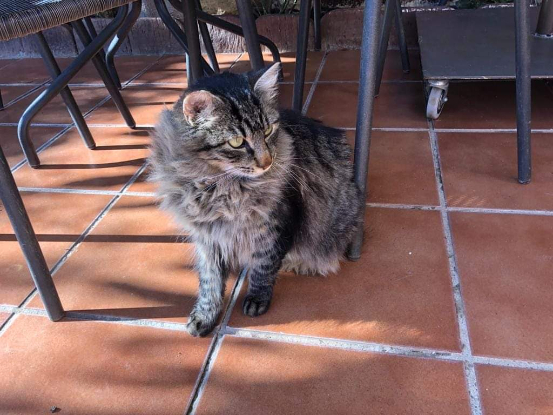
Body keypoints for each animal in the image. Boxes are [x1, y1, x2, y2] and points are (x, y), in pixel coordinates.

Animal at [149, 63, 363, 337]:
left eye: (269, 130)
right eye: (237, 142)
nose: (267, 162)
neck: (216, 187)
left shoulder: (276, 225)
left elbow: (264, 266)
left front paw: (257, 299)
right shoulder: (207, 236)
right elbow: (209, 282)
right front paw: (205, 316)